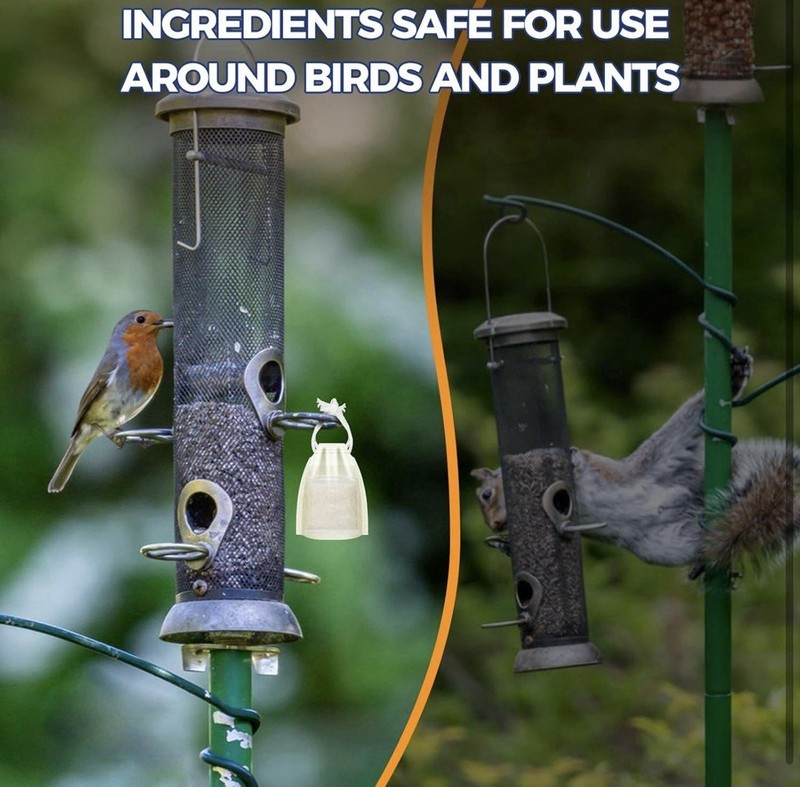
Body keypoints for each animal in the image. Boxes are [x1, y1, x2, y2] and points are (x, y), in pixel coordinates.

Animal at [472, 351, 800, 576]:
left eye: (486, 494)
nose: (497, 524)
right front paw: (505, 545)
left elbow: (582, 462)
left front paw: (574, 461)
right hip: (669, 545)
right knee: (710, 541)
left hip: (665, 452)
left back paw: (735, 373)